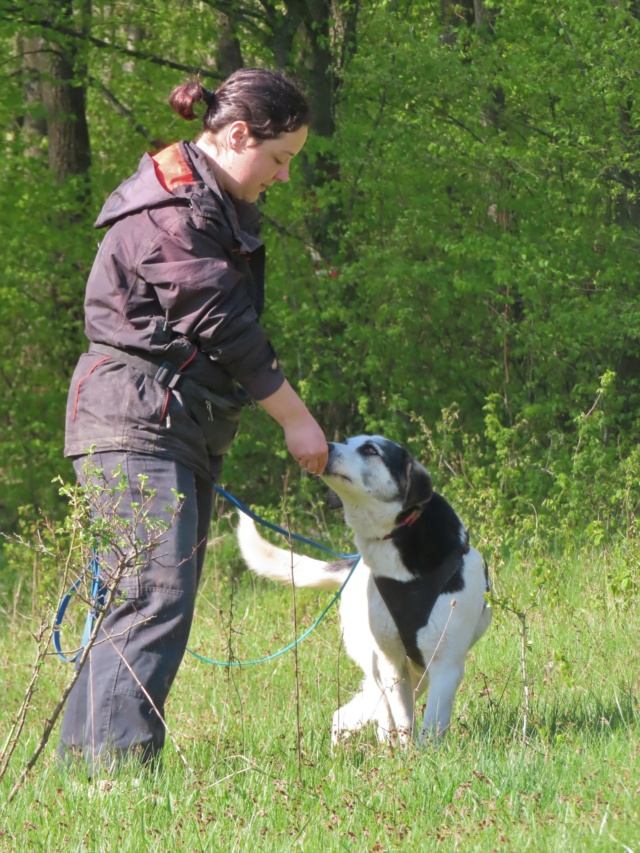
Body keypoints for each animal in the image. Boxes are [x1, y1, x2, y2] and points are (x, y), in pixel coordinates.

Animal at [238, 436, 492, 744]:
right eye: (347, 442)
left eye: (371, 450)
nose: (326, 445)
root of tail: (353, 566)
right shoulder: (393, 665)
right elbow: (404, 723)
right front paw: (406, 753)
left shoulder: (445, 665)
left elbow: (429, 729)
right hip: (379, 668)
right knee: (362, 716)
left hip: (416, 675)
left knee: (348, 714)